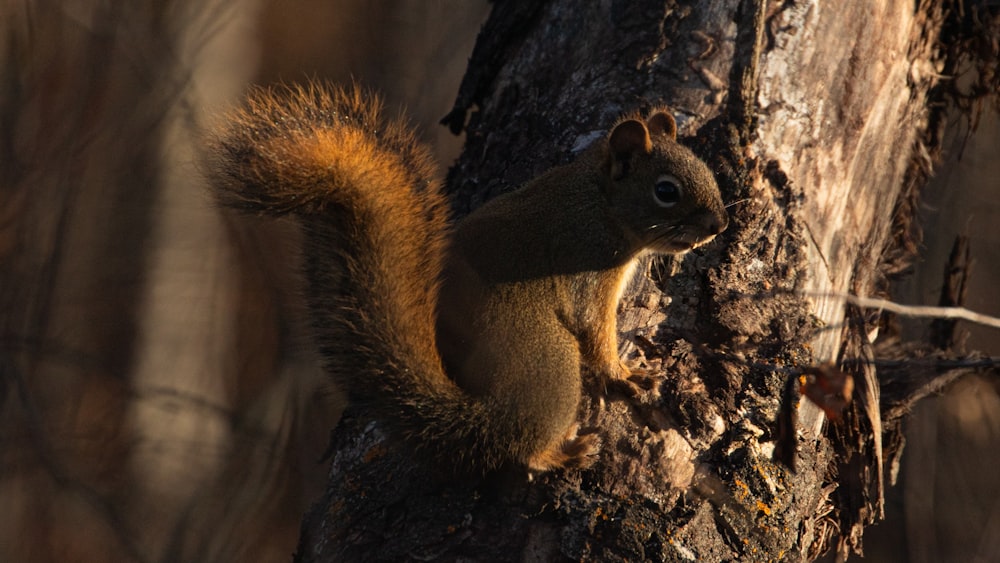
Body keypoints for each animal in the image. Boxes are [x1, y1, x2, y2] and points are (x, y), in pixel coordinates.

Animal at [209, 83, 728, 476]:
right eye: (666, 191)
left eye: (708, 169)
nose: (719, 225)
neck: (600, 201)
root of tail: (475, 405)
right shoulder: (588, 268)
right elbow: (596, 335)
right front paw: (623, 375)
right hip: (550, 361)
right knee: (518, 442)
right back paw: (562, 453)